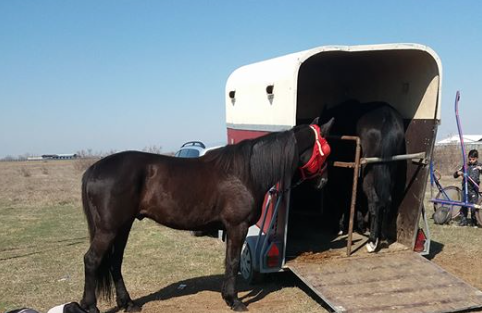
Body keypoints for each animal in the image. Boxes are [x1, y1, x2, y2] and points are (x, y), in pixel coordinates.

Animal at [81, 118, 334, 310]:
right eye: (325, 152)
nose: (324, 182)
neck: (245, 173)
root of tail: (93, 169)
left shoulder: (230, 228)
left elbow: (228, 262)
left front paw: (227, 297)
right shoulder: (237, 226)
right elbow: (233, 262)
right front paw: (235, 301)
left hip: (123, 227)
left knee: (115, 261)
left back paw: (128, 303)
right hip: (109, 229)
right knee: (92, 260)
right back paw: (90, 305)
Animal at [318, 100, 404, 251]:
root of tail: (388, 117)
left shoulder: (339, 175)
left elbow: (340, 198)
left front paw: (339, 227)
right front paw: (359, 225)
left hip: (369, 174)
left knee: (376, 202)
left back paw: (372, 241)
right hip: (390, 170)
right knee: (387, 200)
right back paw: (382, 237)